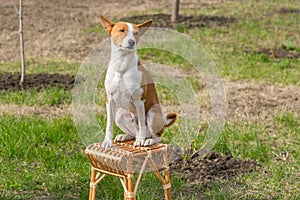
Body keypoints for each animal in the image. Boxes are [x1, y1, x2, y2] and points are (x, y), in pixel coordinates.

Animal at [99, 16, 177, 148]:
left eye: (136, 33)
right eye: (122, 30)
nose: (132, 42)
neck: (121, 66)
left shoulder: (139, 101)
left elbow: (141, 123)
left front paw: (140, 141)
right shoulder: (109, 100)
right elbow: (109, 125)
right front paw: (107, 142)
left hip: (152, 113)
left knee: (156, 135)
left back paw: (148, 140)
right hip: (120, 113)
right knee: (134, 133)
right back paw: (125, 136)